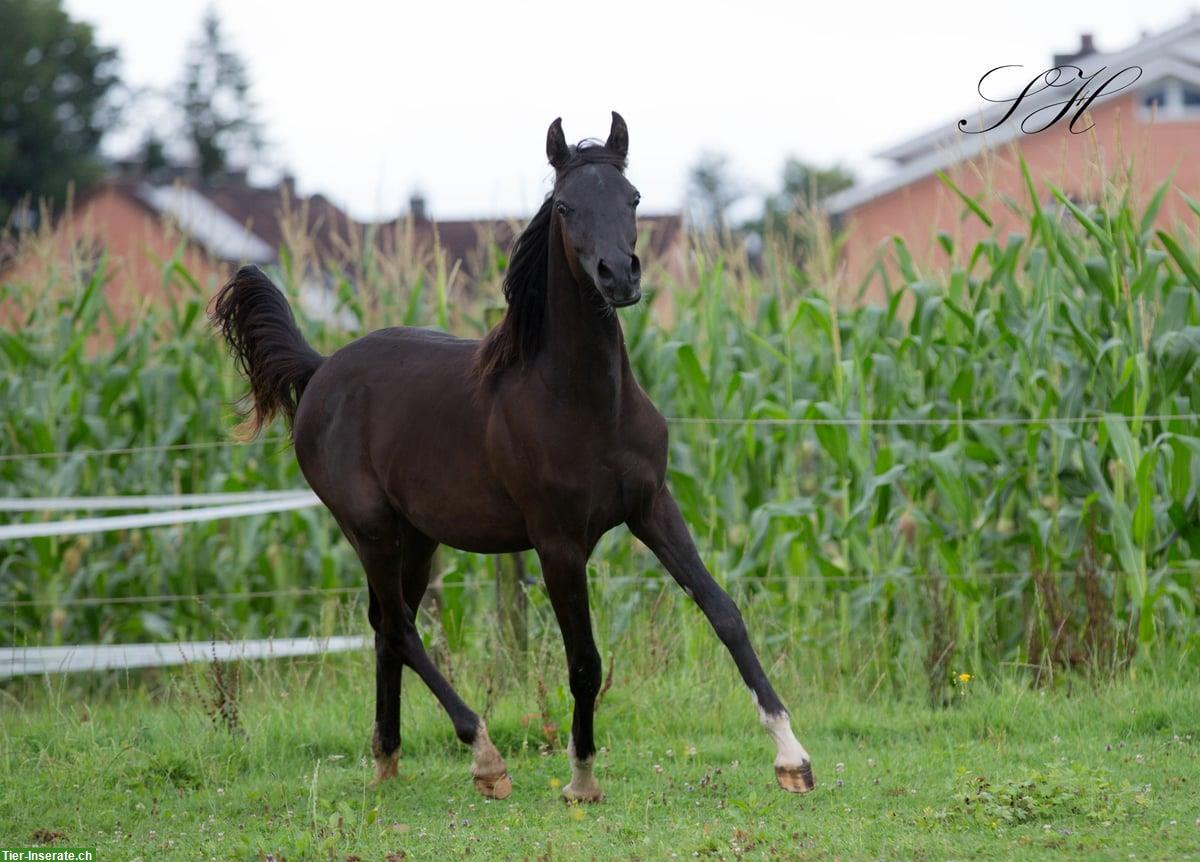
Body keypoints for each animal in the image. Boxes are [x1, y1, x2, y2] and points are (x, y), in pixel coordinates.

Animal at [213, 112, 816, 801]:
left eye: (633, 198)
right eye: (566, 205)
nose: (620, 276)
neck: (585, 405)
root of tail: (319, 371)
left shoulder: (652, 509)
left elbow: (724, 612)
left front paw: (792, 758)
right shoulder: (557, 543)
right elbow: (584, 662)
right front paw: (581, 778)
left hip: (417, 536)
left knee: (385, 625)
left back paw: (388, 761)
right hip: (369, 528)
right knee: (399, 627)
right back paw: (484, 757)